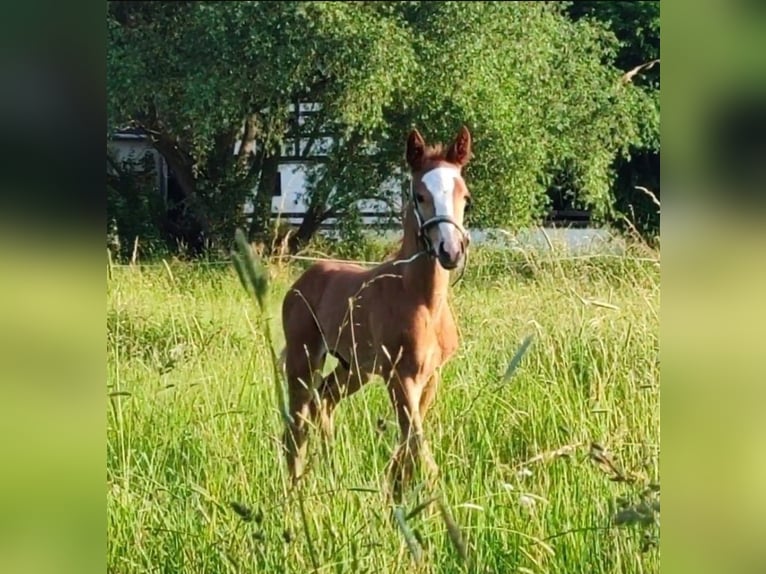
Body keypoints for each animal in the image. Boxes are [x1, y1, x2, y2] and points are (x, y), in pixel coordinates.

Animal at [282, 125, 474, 500]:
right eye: (419, 196)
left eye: (465, 197)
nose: (451, 250)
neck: (422, 300)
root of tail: (303, 279)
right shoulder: (399, 376)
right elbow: (417, 444)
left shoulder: (431, 377)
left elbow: (410, 443)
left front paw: (396, 492)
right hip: (303, 359)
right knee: (296, 425)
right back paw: (295, 489)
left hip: (353, 367)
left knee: (323, 400)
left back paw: (332, 472)